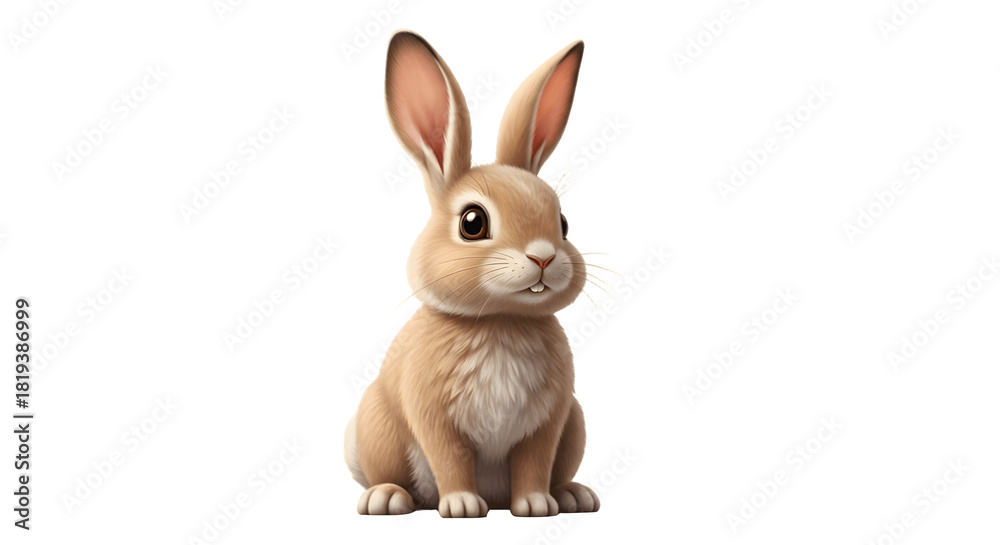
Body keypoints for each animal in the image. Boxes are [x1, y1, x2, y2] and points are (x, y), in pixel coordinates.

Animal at [344, 30, 599, 518]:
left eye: (563, 224)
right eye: (472, 223)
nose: (543, 257)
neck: (500, 320)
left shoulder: (548, 422)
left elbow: (534, 464)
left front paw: (535, 505)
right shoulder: (435, 419)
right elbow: (451, 460)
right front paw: (462, 505)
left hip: (575, 422)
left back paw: (571, 495)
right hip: (378, 425)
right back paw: (387, 498)